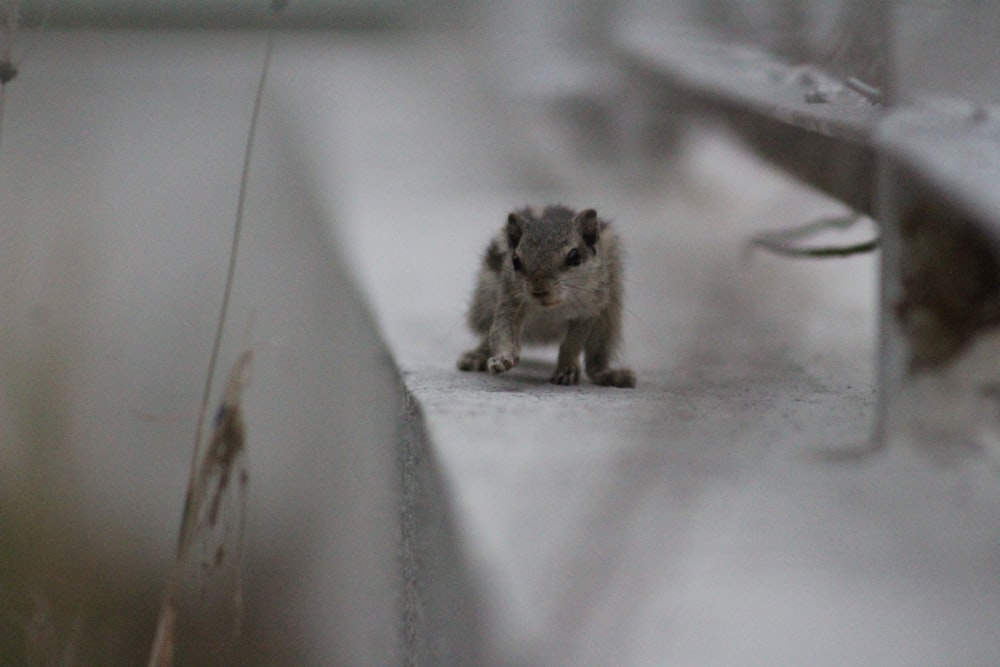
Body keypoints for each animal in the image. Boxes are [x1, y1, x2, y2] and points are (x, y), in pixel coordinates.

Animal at [458, 206, 636, 388]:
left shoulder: (588, 309)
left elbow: (573, 343)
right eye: (515, 260)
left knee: (596, 359)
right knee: (487, 336)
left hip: (608, 321)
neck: (550, 309)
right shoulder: (510, 299)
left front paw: (566, 369)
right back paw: (476, 356)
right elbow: (501, 331)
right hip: (484, 304)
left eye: (574, 256)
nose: (539, 289)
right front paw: (503, 358)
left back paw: (610, 375)